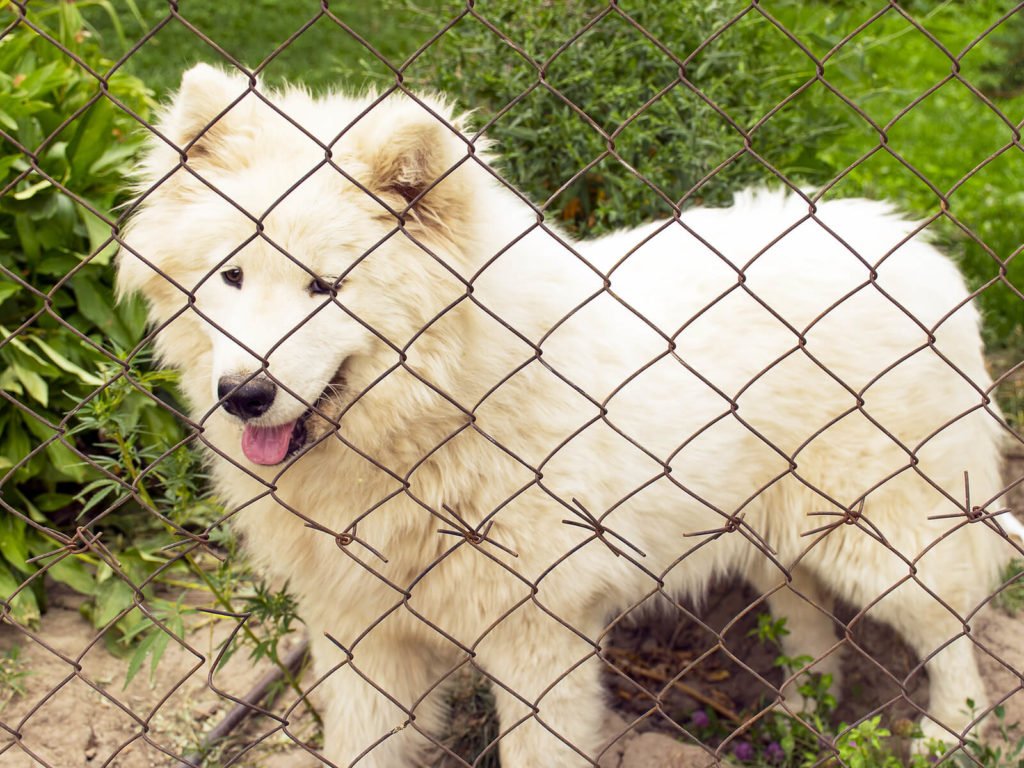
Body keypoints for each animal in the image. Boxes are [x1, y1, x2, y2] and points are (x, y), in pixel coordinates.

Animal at [117, 64, 1015, 765]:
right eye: (232, 275)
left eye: (325, 287)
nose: (244, 395)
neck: (429, 427)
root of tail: (910, 242)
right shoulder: (363, 637)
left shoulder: (539, 641)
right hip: (778, 539)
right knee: (814, 633)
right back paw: (793, 724)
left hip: (883, 542)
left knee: (954, 632)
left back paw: (949, 735)